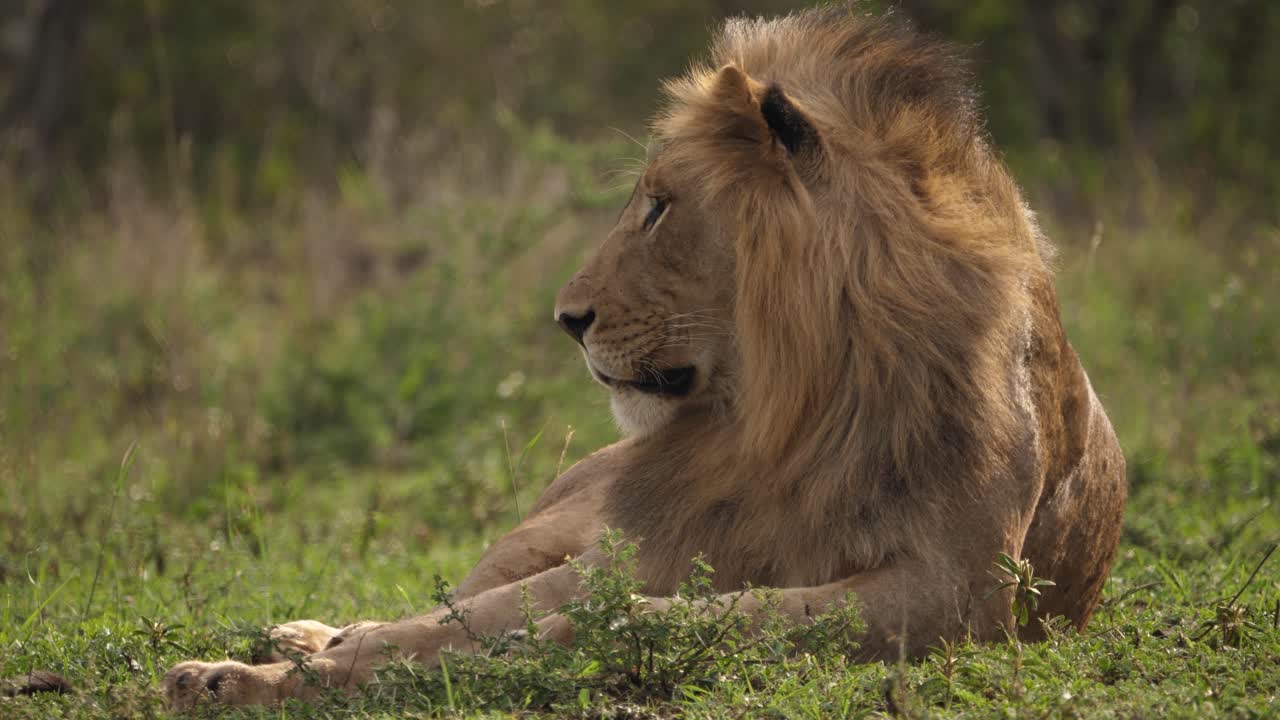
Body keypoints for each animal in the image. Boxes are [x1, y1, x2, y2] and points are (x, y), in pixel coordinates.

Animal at [164, 6, 1126, 708]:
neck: (792, 409)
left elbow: (765, 614)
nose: (566, 319)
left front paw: (622, 632)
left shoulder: (959, 592)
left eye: (660, 206)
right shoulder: (657, 535)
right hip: (559, 517)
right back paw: (305, 638)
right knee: (456, 593)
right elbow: (457, 621)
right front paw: (248, 674)